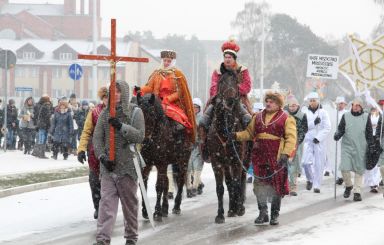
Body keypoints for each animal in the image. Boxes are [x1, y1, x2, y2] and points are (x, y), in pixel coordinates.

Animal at [136, 92, 194, 222]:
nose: (143, 140)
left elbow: (159, 186)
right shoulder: (147, 163)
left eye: (151, 114)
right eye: (139, 112)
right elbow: (144, 184)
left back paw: (176, 206)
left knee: (180, 179)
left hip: (183, 159)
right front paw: (145, 211)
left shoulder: (161, 163)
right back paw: (165, 208)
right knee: (167, 182)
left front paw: (157, 212)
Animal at [204, 69, 249, 224]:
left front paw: (238, 208)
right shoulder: (217, 162)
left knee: (241, 179)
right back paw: (231, 208)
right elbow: (220, 188)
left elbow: (236, 183)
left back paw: (239, 206)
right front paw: (220, 214)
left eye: (236, 81)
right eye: (221, 81)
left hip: (244, 160)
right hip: (226, 163)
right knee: (229, 183)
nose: (230, 100)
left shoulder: (236, 160)